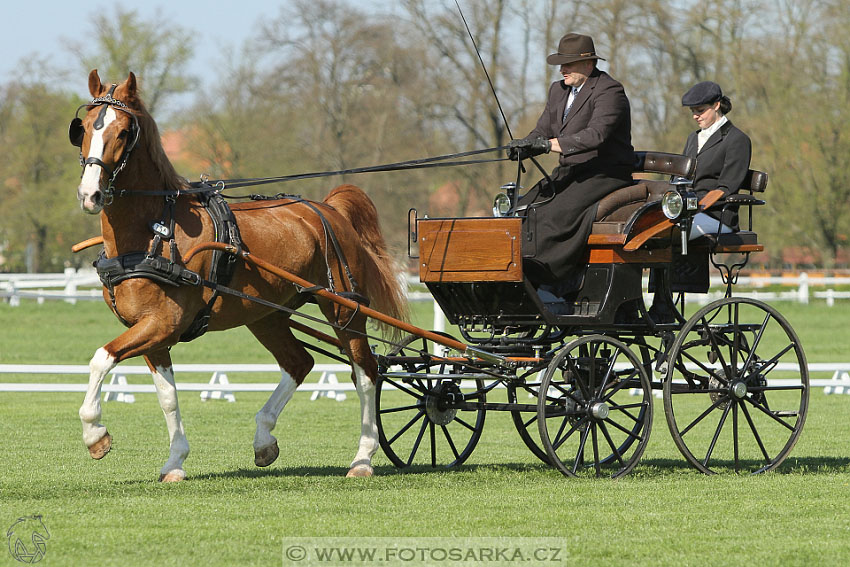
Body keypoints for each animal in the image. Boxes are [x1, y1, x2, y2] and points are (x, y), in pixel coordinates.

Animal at [69, 69, 408, 482]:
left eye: (122, 132)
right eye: (85, 127)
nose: (90, 194)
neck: (154, 231)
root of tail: (329, 209)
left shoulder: (162, 323)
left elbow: (101, 359)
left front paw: (95, 435)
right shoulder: (152, 332)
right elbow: (167, 396)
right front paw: (175, 461)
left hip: (345, 311)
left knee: (366, 373)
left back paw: (362, 458)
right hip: (266, 315)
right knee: (299, 363)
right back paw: (264, 440)